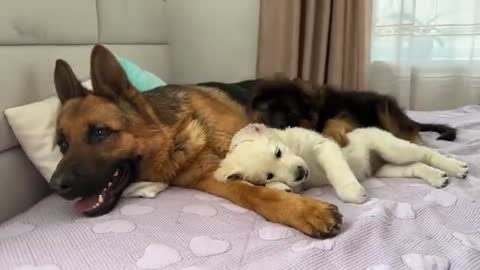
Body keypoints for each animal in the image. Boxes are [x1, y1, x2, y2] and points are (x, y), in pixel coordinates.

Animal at [49, 44, 342, 238]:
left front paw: (306, 209)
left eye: (100, 132)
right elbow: (252, 192)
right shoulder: (213, 177)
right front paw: (298, 207)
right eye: (62, 144)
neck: (179, 135)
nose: (56, 186)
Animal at [215, 124, 468, 202]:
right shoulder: (302, 183)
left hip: (392, 149)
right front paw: (281, 187)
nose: (299, 173)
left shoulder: (324, 146)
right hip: (386, 169)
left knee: (425, 153)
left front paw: (352, 192)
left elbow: (336, 169)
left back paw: (455, 167)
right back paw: (437, 177)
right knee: (415, 166)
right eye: (268, 175)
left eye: (278, 152)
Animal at [249, 78, 456, 146]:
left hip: (384, 108)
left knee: (410, 131)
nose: (275, 127)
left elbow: (333, 121)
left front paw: (331, 134)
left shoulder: (347, 116)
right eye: (267, 109)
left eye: (290, 112)